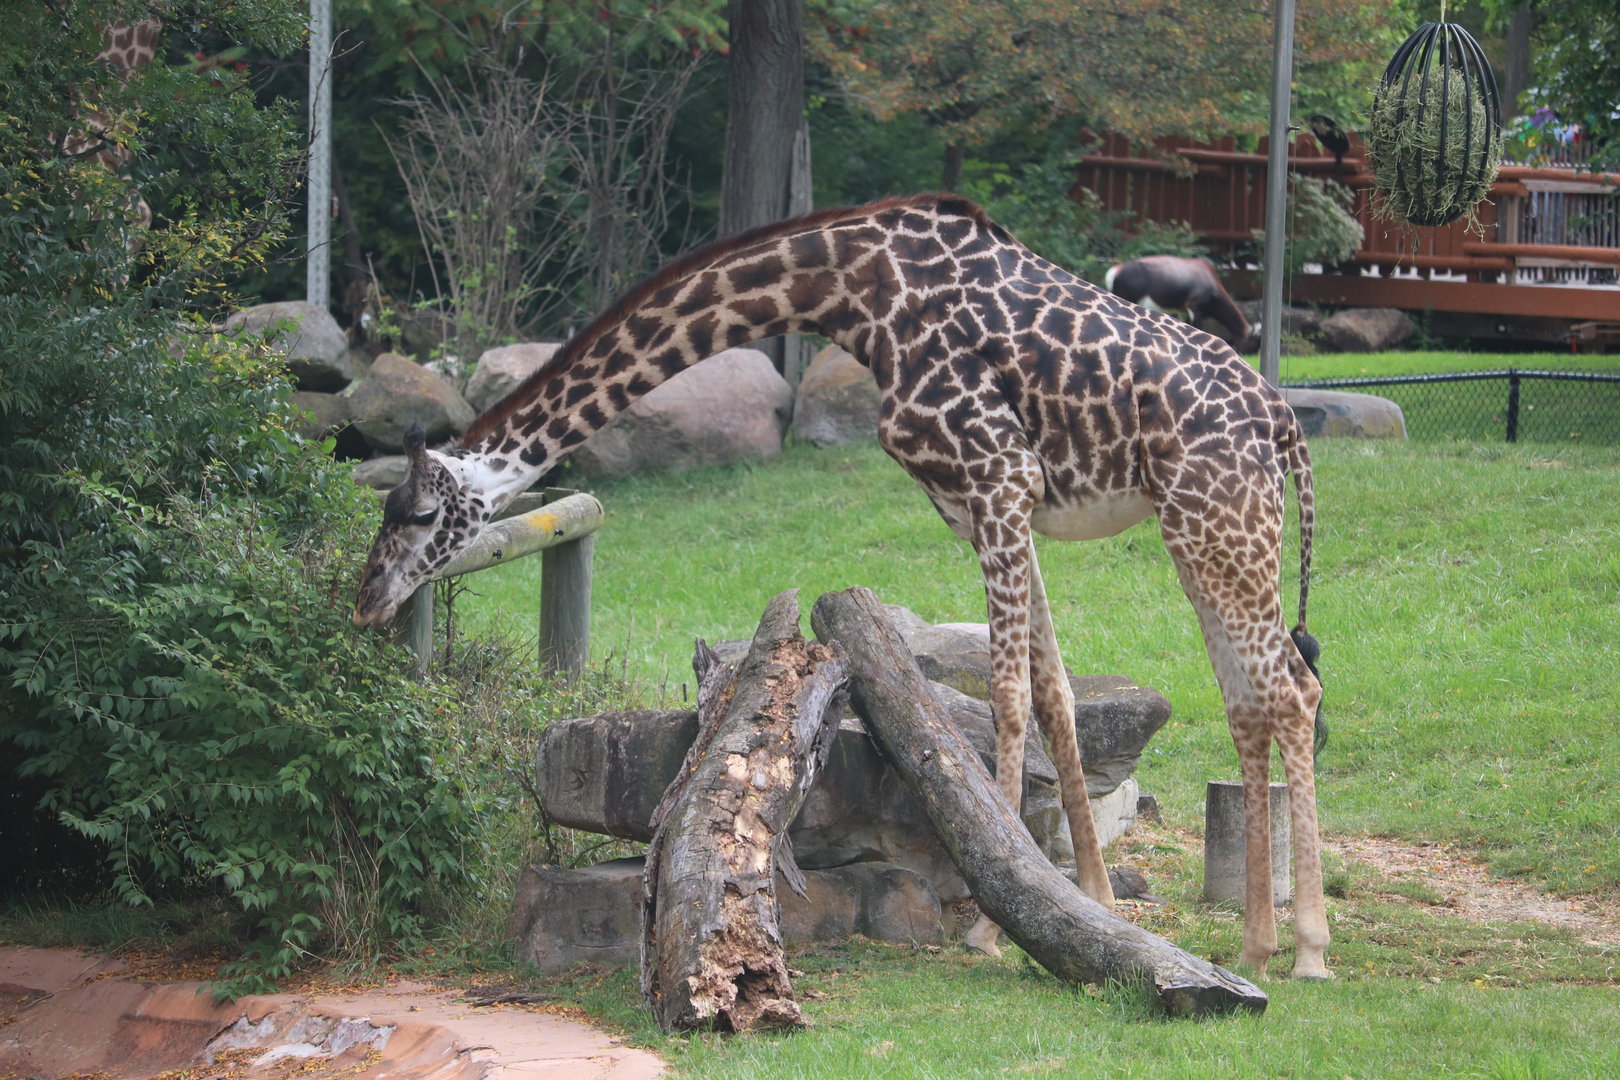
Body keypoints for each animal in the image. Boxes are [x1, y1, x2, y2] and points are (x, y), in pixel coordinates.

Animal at [352, 194, 1330, 979]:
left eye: (413, 511)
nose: (365, 600)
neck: (850, 290)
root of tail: (1285, 422)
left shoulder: (998, 476)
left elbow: (1012, 695)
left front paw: (990, 930)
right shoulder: (995, 503)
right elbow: (1053, 690)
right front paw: (1091, 900)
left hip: (1217, 521)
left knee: (1289, 691)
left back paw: (1309, 950)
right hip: (1204, 528)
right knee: (1255, 698)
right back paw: (1256, 946)